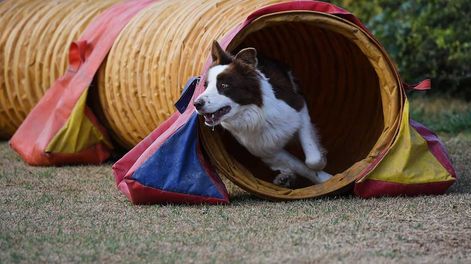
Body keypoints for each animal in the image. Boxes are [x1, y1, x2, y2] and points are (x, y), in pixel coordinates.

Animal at [195, 41, 332, 187]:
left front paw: (324, 166)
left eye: (224, 85)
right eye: (205, 85)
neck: (256, 114)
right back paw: (285, 177)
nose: (196, 104)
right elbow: (300, 166)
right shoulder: (266, 150)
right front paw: (325, 178)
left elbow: (312, 159)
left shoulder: (299, 105)